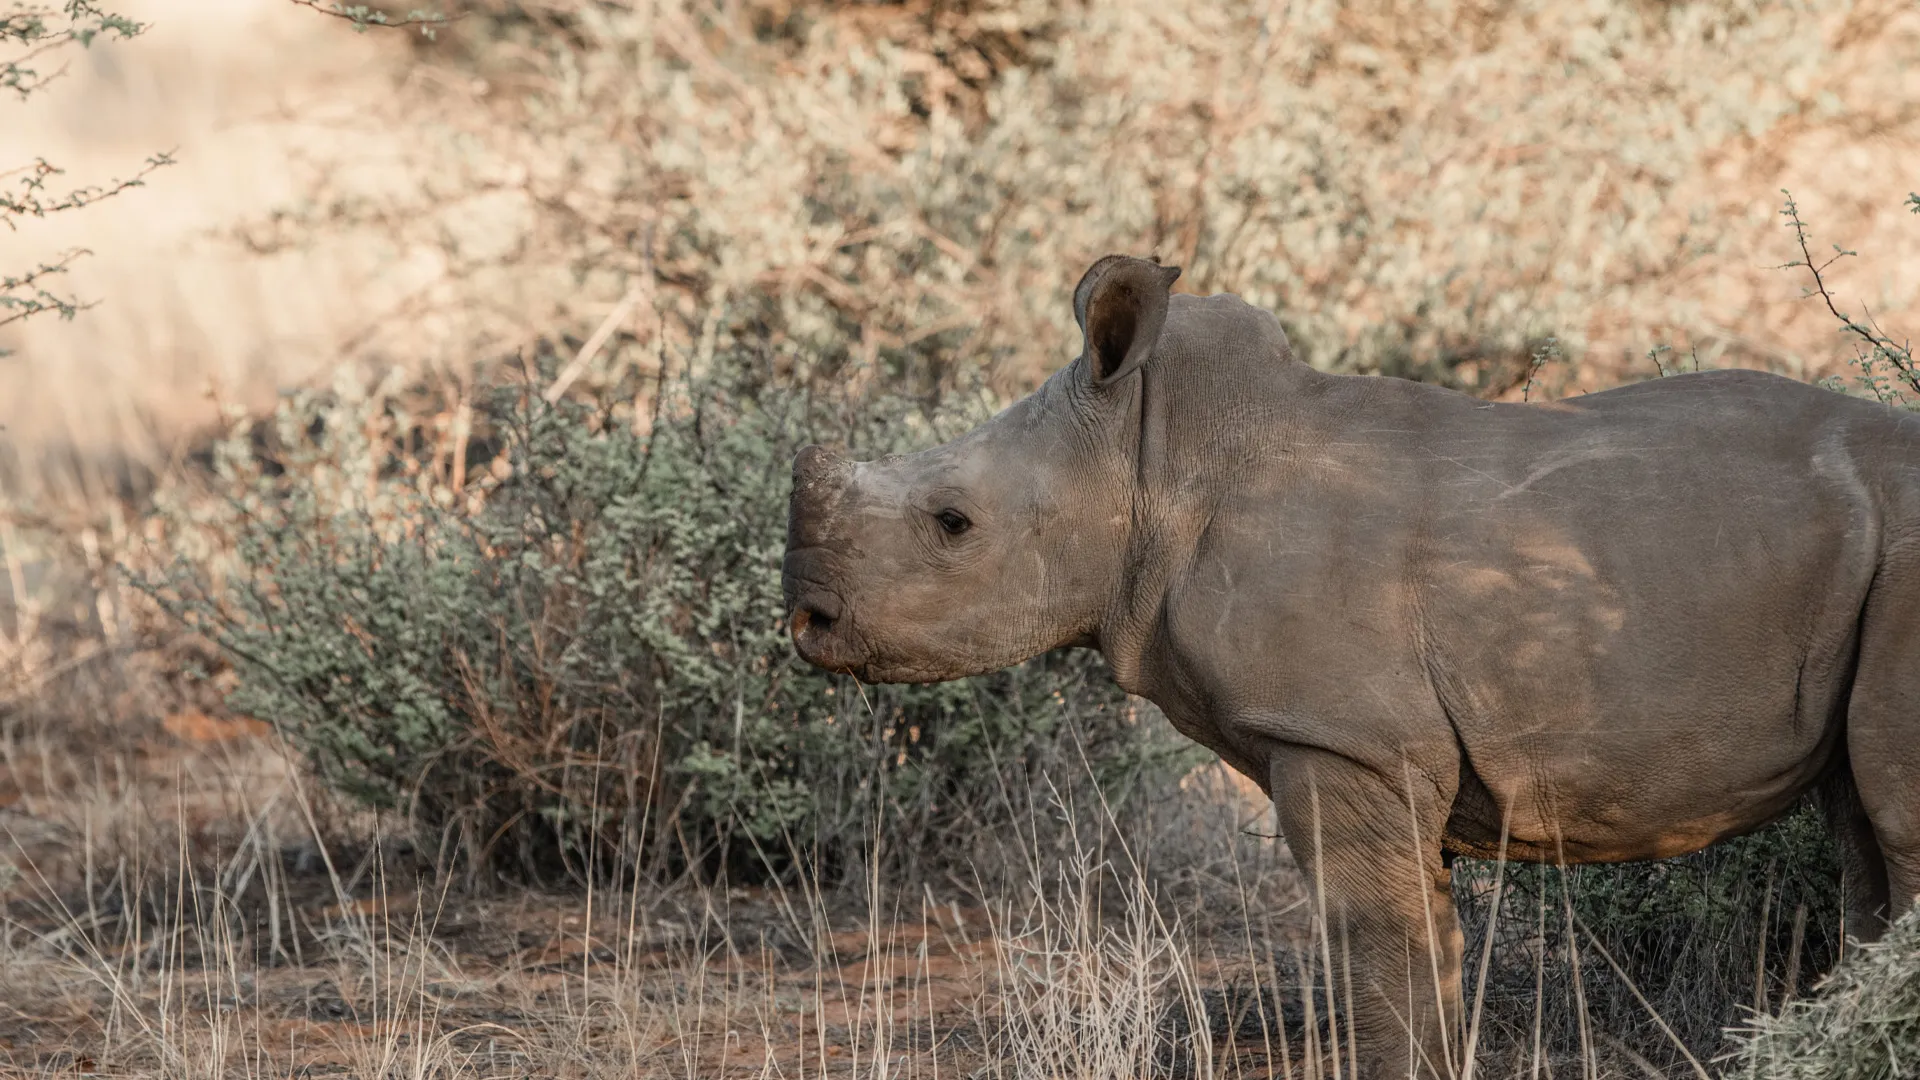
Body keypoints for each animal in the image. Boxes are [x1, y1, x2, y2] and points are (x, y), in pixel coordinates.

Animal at [780, 255, 1920, 1078]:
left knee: (1893, 813)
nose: (806, 618)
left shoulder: (1341, 738)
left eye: (952, 523)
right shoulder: (1382, 748)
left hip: (1905, 554)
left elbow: (1375, 953)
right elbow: (1425, 956)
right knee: (1862, 824)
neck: (1150, 461)